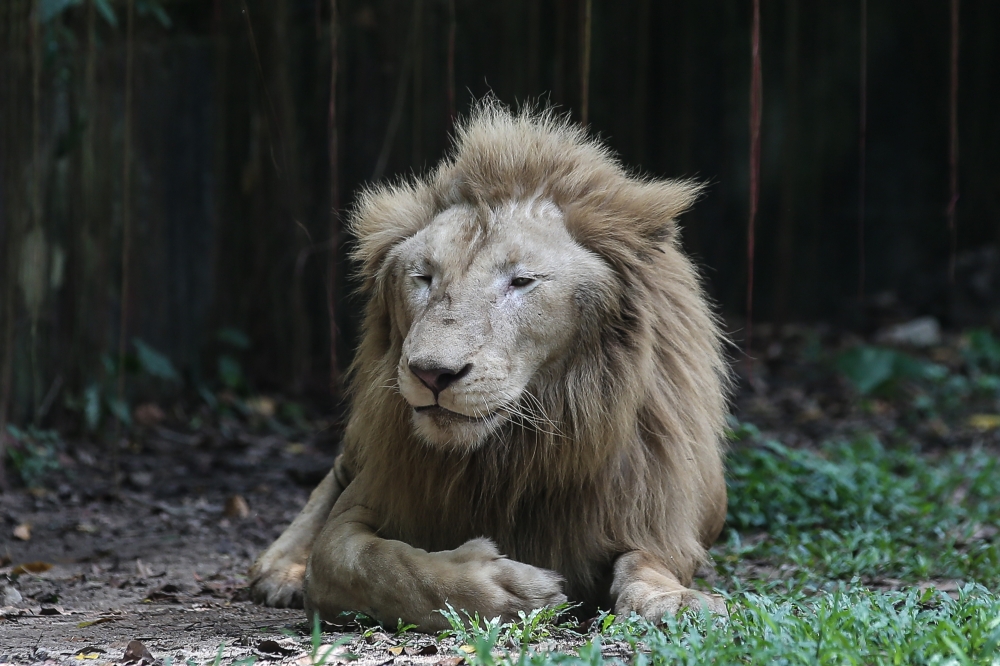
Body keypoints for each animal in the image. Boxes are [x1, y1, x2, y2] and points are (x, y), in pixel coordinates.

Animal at [246, 104, 732, 628]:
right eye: (424, 277)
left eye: (521, 281)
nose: (431, 373)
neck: (513, 457)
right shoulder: (362, 507)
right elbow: (372, 562)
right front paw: (505, 588)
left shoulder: (655, 516)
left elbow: (649, 560)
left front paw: (675, 600)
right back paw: (279, 572)